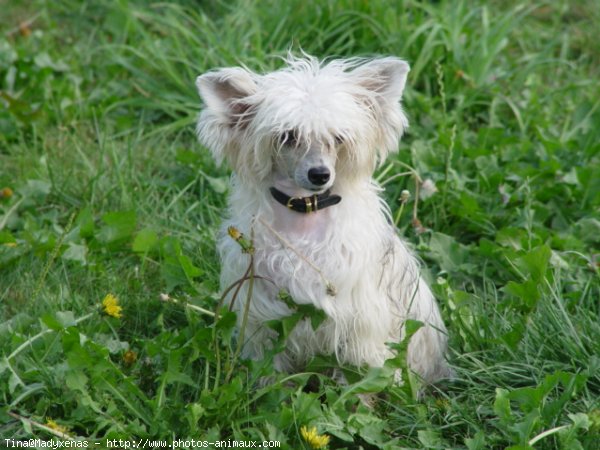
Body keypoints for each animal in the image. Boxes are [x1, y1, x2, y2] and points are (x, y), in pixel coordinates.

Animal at [196, 52, 450, 384]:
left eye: (338, 138)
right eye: (288, 137)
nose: (320, 174)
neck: (304, 212)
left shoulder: (360, 325)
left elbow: (360, 376)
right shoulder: (262, 317)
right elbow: (269, 370)